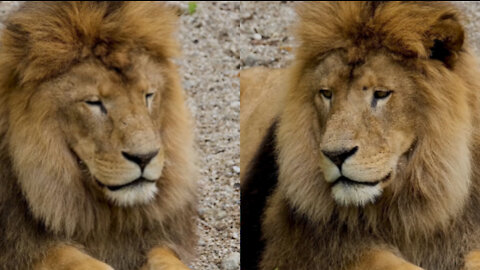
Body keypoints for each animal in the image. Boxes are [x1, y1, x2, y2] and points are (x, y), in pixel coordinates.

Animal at [0, 2, 197, 270]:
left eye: (148, 95)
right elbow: (74, 259)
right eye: (94, 102)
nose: (144, 157)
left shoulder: (156, 237)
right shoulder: (21, 246)